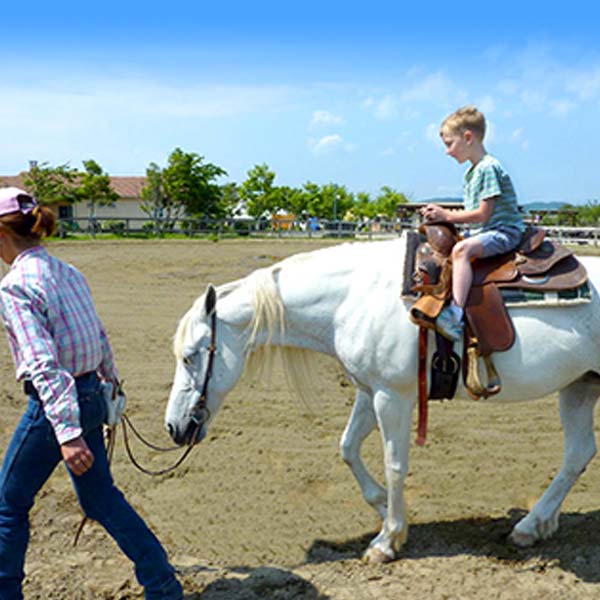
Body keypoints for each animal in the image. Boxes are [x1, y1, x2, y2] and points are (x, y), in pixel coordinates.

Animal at [164, 237, 600, 564]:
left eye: (190, 356)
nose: (174, 427)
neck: (351, 298)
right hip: (579, 387)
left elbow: (394, 465)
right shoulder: (368, 391)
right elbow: (347, 448)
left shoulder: (393, 396)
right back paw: (533, 525)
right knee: (577, 455)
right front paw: (385, 513)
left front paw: (387, 541)